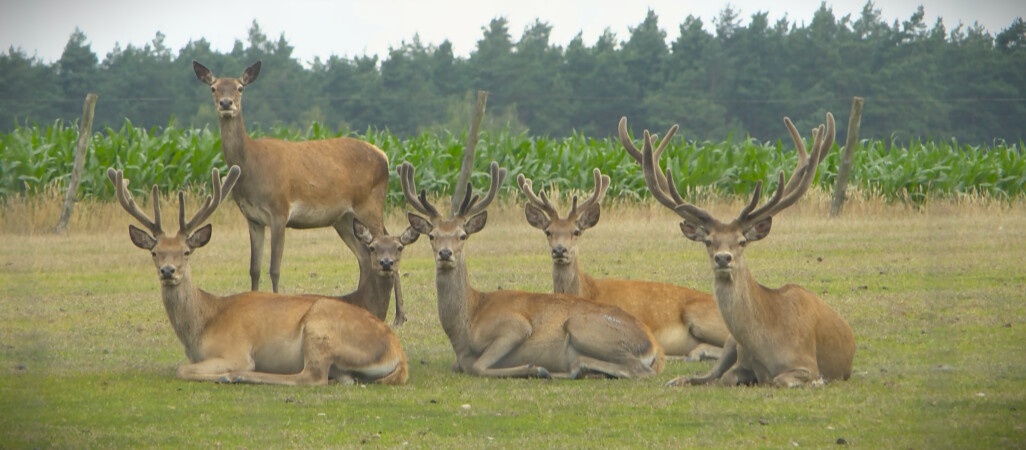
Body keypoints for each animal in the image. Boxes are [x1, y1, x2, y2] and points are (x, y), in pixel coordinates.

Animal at [107, 167, 404, 385]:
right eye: (155, 252)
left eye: (187, 251)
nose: (168, 271)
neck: (201, 326)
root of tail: (396, 351)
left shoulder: (234, 350)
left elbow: (181, 369)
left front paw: (223, 374)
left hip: (321, 329)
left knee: (311, 377)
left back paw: (237, 376)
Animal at [192, 60, 408, 328]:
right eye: (213, 88)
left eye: (240, 88)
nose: (226, 103)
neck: (252, 166)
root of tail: (385, 155)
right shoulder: (252, 218)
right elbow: (254, 268)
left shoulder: (279, 211)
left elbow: (274, 268)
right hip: (343, 218)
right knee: (364, 256)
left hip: (370, 203)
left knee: (387, 240)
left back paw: (399, 316)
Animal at [391, 161, 664, 381]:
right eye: (432, 236)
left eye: (462, 235)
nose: (445, 253)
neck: (466, 325)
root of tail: (652, 346)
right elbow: (461, 365)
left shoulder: (514, 324)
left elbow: (478, 366)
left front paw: (535, 368)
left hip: (582, 325)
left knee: (638, 369)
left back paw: (571, 367)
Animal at [627, 112, 853, 387]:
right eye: (708, 240)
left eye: (742, 241)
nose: (723, 258)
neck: (767, 342)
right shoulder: (742, 362)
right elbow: (726, 377)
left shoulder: (807, 362)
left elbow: (781, 379)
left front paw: (815, 382)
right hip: (729, 342)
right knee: (707, 375)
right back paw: (678, 379)